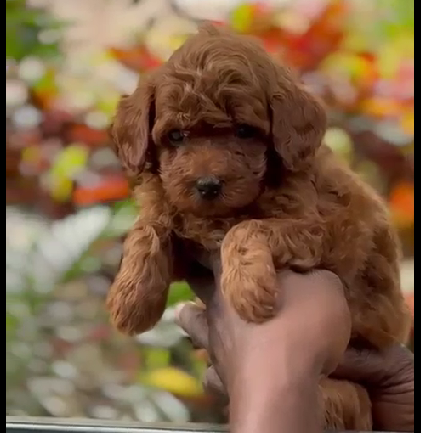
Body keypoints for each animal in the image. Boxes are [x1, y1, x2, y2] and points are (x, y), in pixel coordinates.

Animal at [106, 23, 410, 428]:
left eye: (245, 132)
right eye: (176, 136)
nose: (207, 185)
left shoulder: (318, 230)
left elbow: (246, 229)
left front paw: (248, 291)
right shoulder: (183, 234)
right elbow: (149, 226)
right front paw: (130, 300)